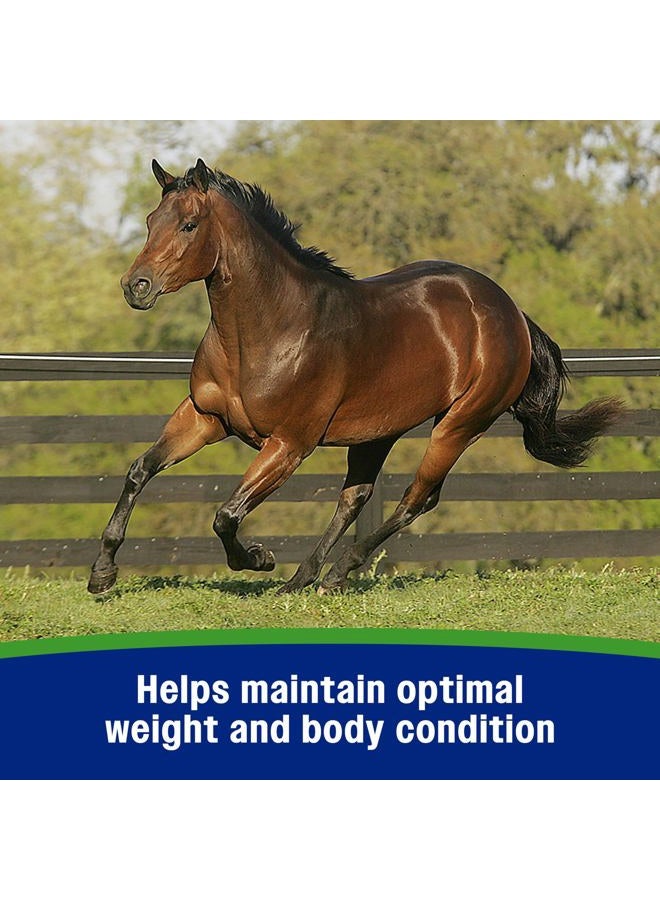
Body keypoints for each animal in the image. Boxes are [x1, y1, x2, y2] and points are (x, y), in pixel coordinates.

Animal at [88, 158, 622, 596]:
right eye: (151, 222)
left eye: (189, 224)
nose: (136, 287)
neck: (269, 329)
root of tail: (510, 311)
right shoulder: (205, 418)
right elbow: (139, 471)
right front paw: (102, 575)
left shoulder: (289, 443)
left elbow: (226, 515)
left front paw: (258, 559)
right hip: (378, 431)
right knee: (356, 498)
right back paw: (304, 579)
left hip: (460, 424)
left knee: (417, 497)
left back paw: (336, 574)